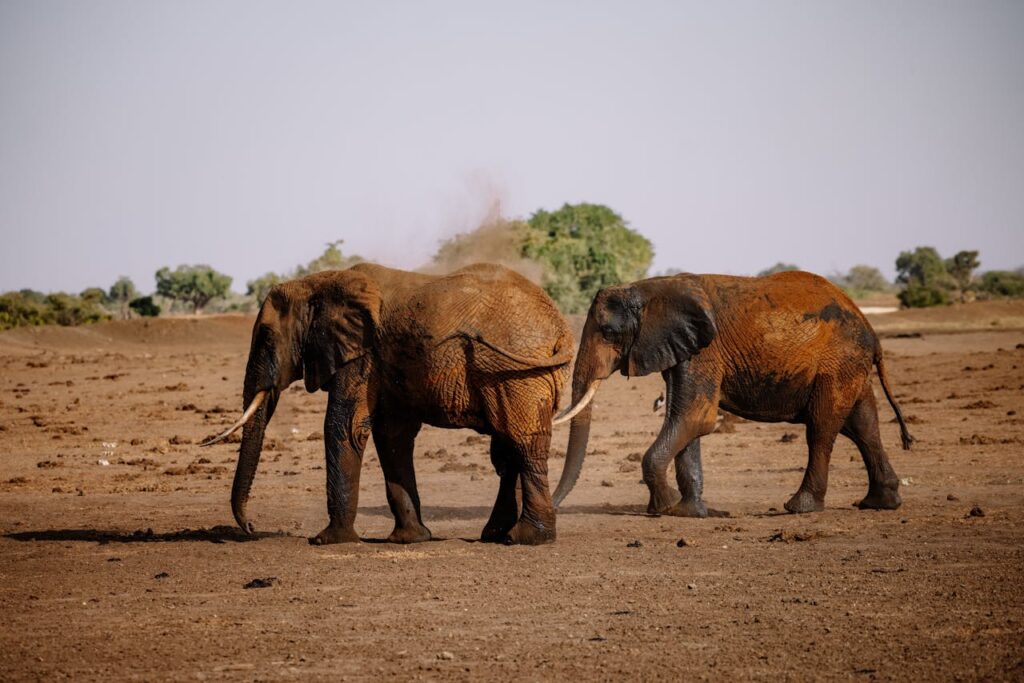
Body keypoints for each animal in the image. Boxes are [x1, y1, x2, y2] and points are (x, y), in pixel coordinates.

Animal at [552, 270, 913, 516]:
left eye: (608, 332)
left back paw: (799, 507)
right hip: (849, 366)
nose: (553, 507)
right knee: (864, 426)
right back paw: (880, 503)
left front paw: (664, 508)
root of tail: (871, 330)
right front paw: (691, 512)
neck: (649, 288)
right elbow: (688, 423)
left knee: (822, 429)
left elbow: (693, 418)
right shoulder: (684, 350)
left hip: (837, 364)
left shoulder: (704, 352)